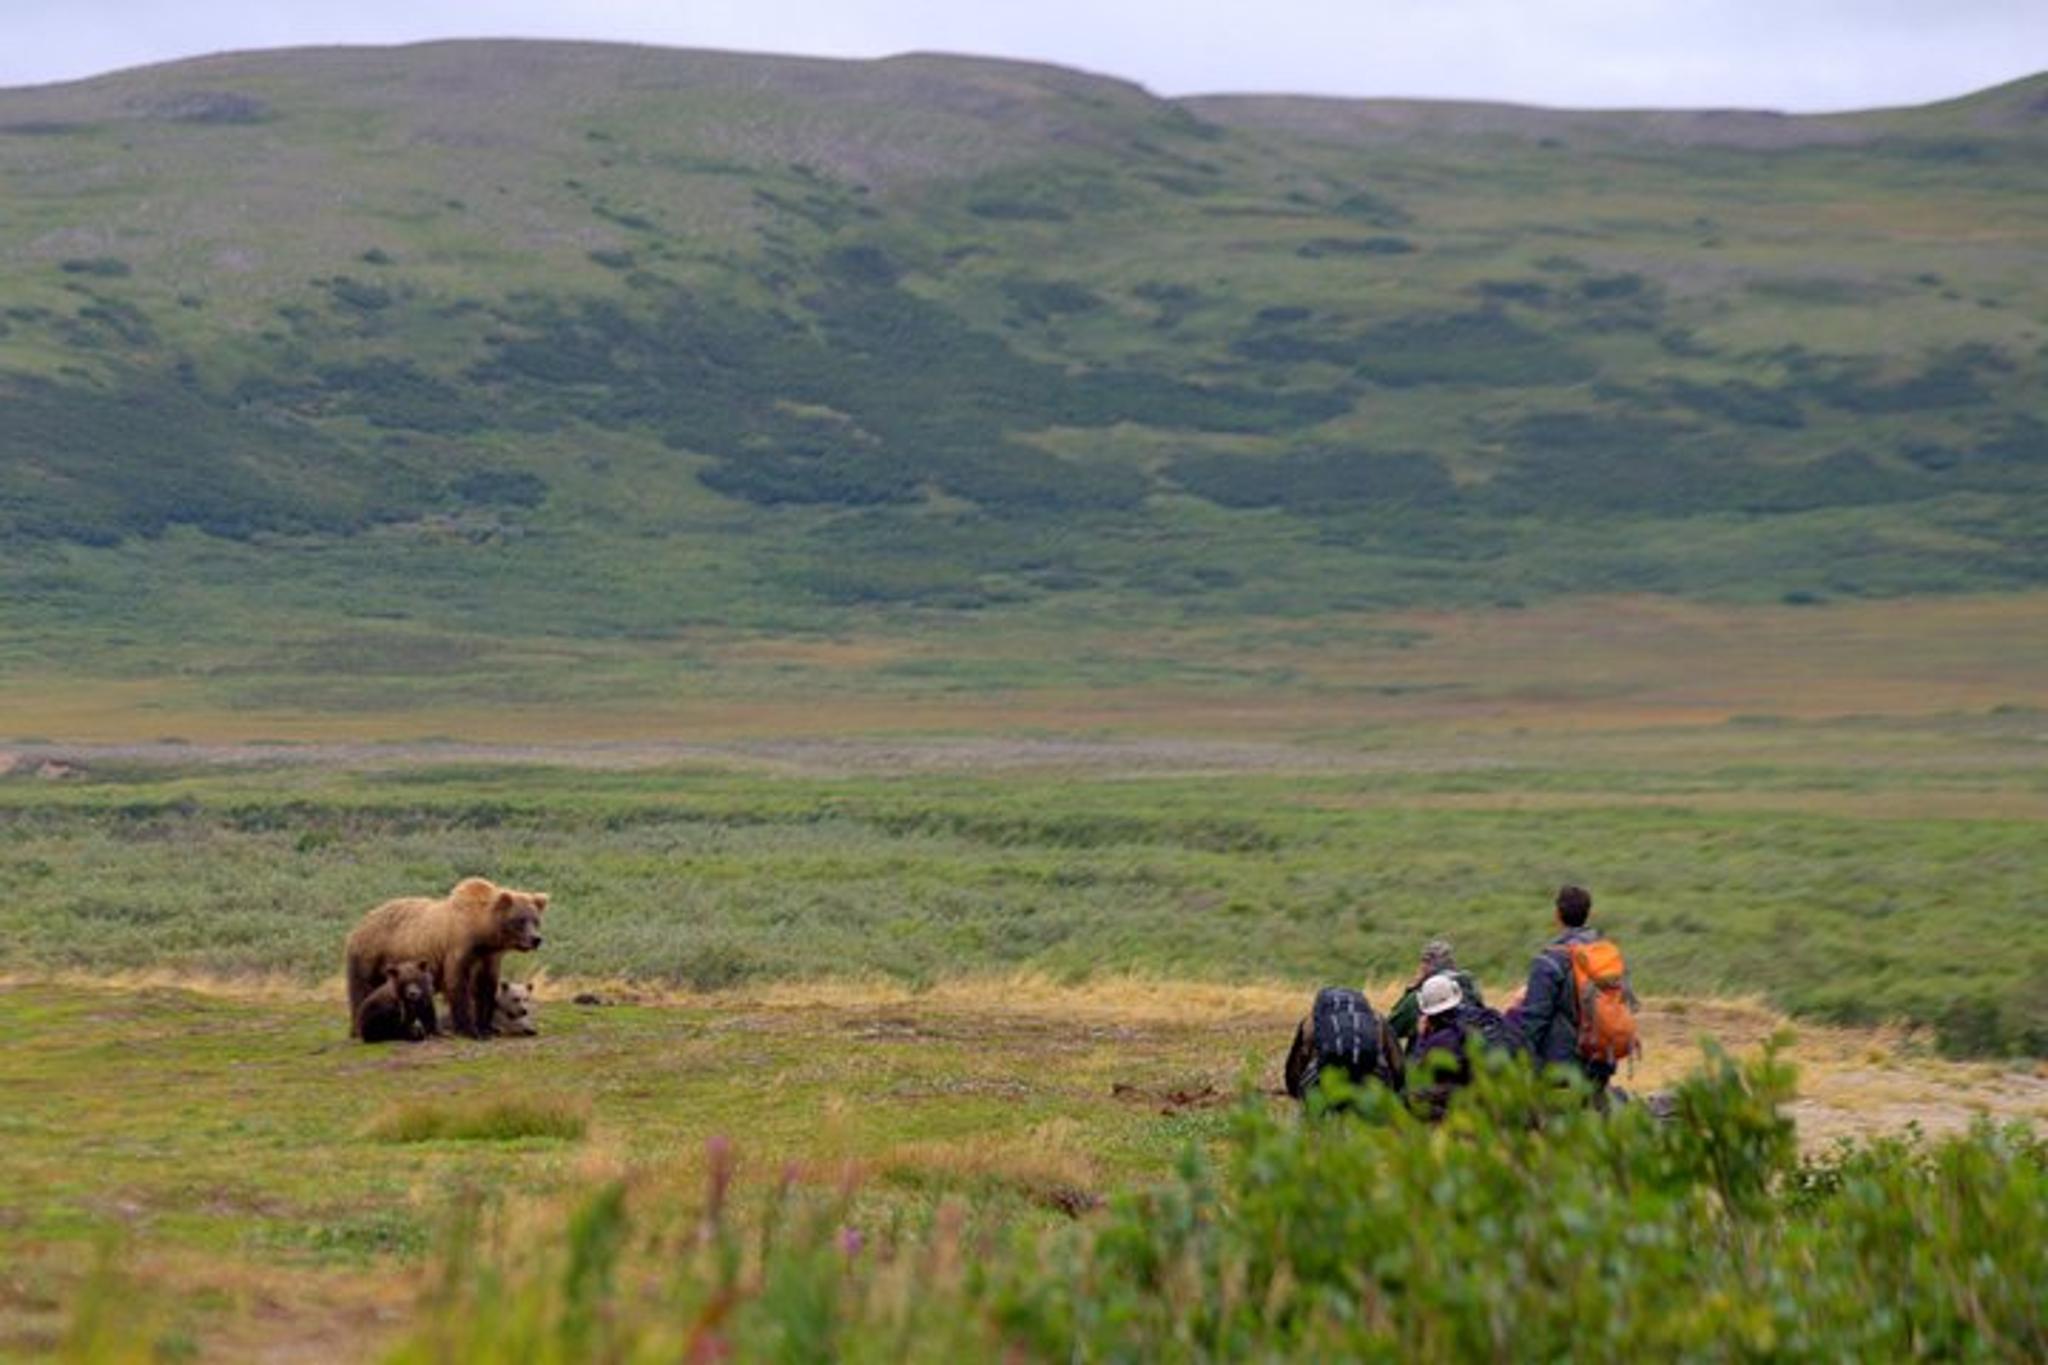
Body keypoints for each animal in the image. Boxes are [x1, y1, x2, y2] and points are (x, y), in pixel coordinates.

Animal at [344, 877, 548, 1040]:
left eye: (536, 920)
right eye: (520, 920)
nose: (536, 939)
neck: (482, 932)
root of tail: (359, 924)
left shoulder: (489, 957)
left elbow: (486, 988)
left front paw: (487, 1027)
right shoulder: (459, 947)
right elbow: (458, 984)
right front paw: (470, 1030)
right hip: (370, 956)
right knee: (363, 990)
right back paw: (357, 1030)